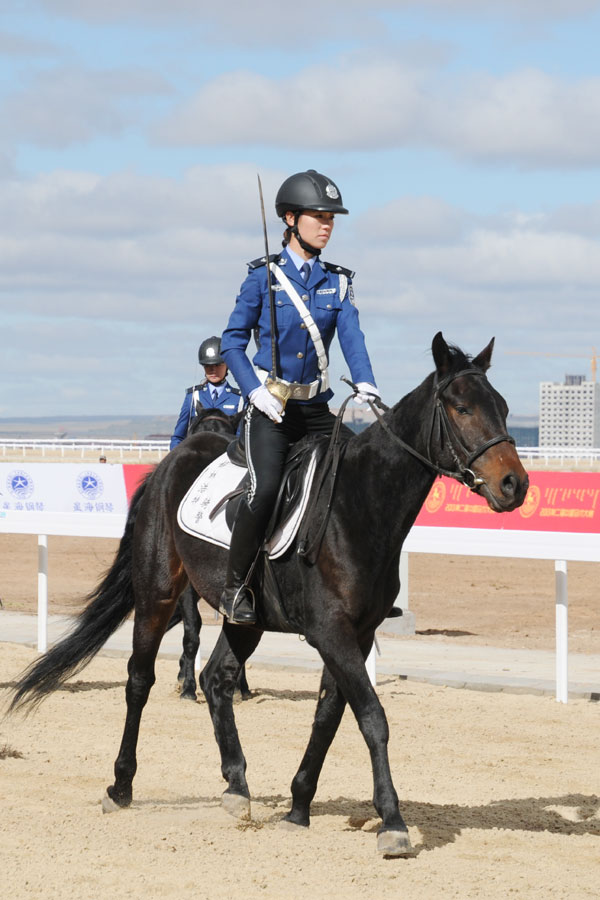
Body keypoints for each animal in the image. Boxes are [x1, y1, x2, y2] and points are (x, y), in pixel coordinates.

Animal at [8, 332, 524, 856]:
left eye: (503, 407)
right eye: (461, 407)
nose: (514, 484)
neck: (359, 505)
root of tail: (170, 462)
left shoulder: (355, 635)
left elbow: (328, 715)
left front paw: (298, 808)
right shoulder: (330, 631)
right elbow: (371, 716)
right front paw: (392, 822)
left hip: (246, 618)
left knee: (217, 678)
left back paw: (237, 787)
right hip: (157, 594)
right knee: (139, 680)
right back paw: (121, 785)